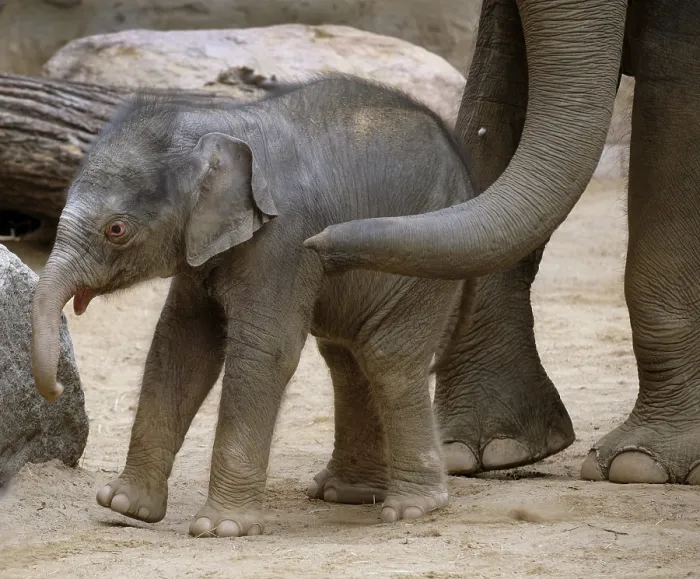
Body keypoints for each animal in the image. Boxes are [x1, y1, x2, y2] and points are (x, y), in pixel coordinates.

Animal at [30, 75, 483, 536]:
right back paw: (345, 493)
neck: (218, 126)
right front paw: (124, 507)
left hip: (425, 257)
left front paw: (220, 529)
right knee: (346, 357)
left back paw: (411, 509)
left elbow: (264, 352)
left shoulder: (285, 241)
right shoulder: (201, 248)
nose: (58, 388)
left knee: (386, 357)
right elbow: (180, 346)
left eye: (117, 230)